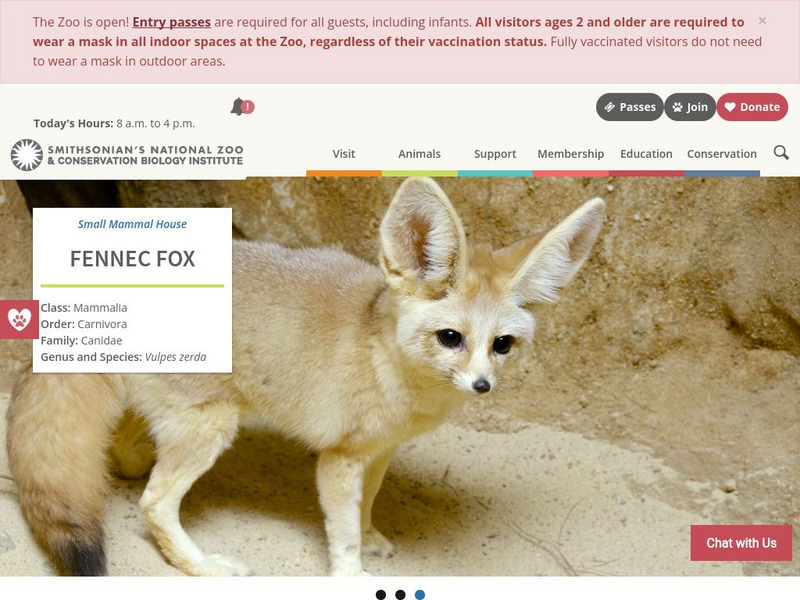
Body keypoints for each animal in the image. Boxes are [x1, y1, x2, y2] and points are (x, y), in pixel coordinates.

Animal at [6, 177, 605, 577]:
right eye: (450, 338)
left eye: (502, 345)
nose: (483, 386)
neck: (384, 357)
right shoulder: (339, 460)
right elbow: (342, 534)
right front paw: (351, 576)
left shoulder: (379, 452)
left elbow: (365, 509)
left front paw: (372, 536)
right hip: (212, 425)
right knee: (153, 503)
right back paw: (204, 567)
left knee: (127, 449)